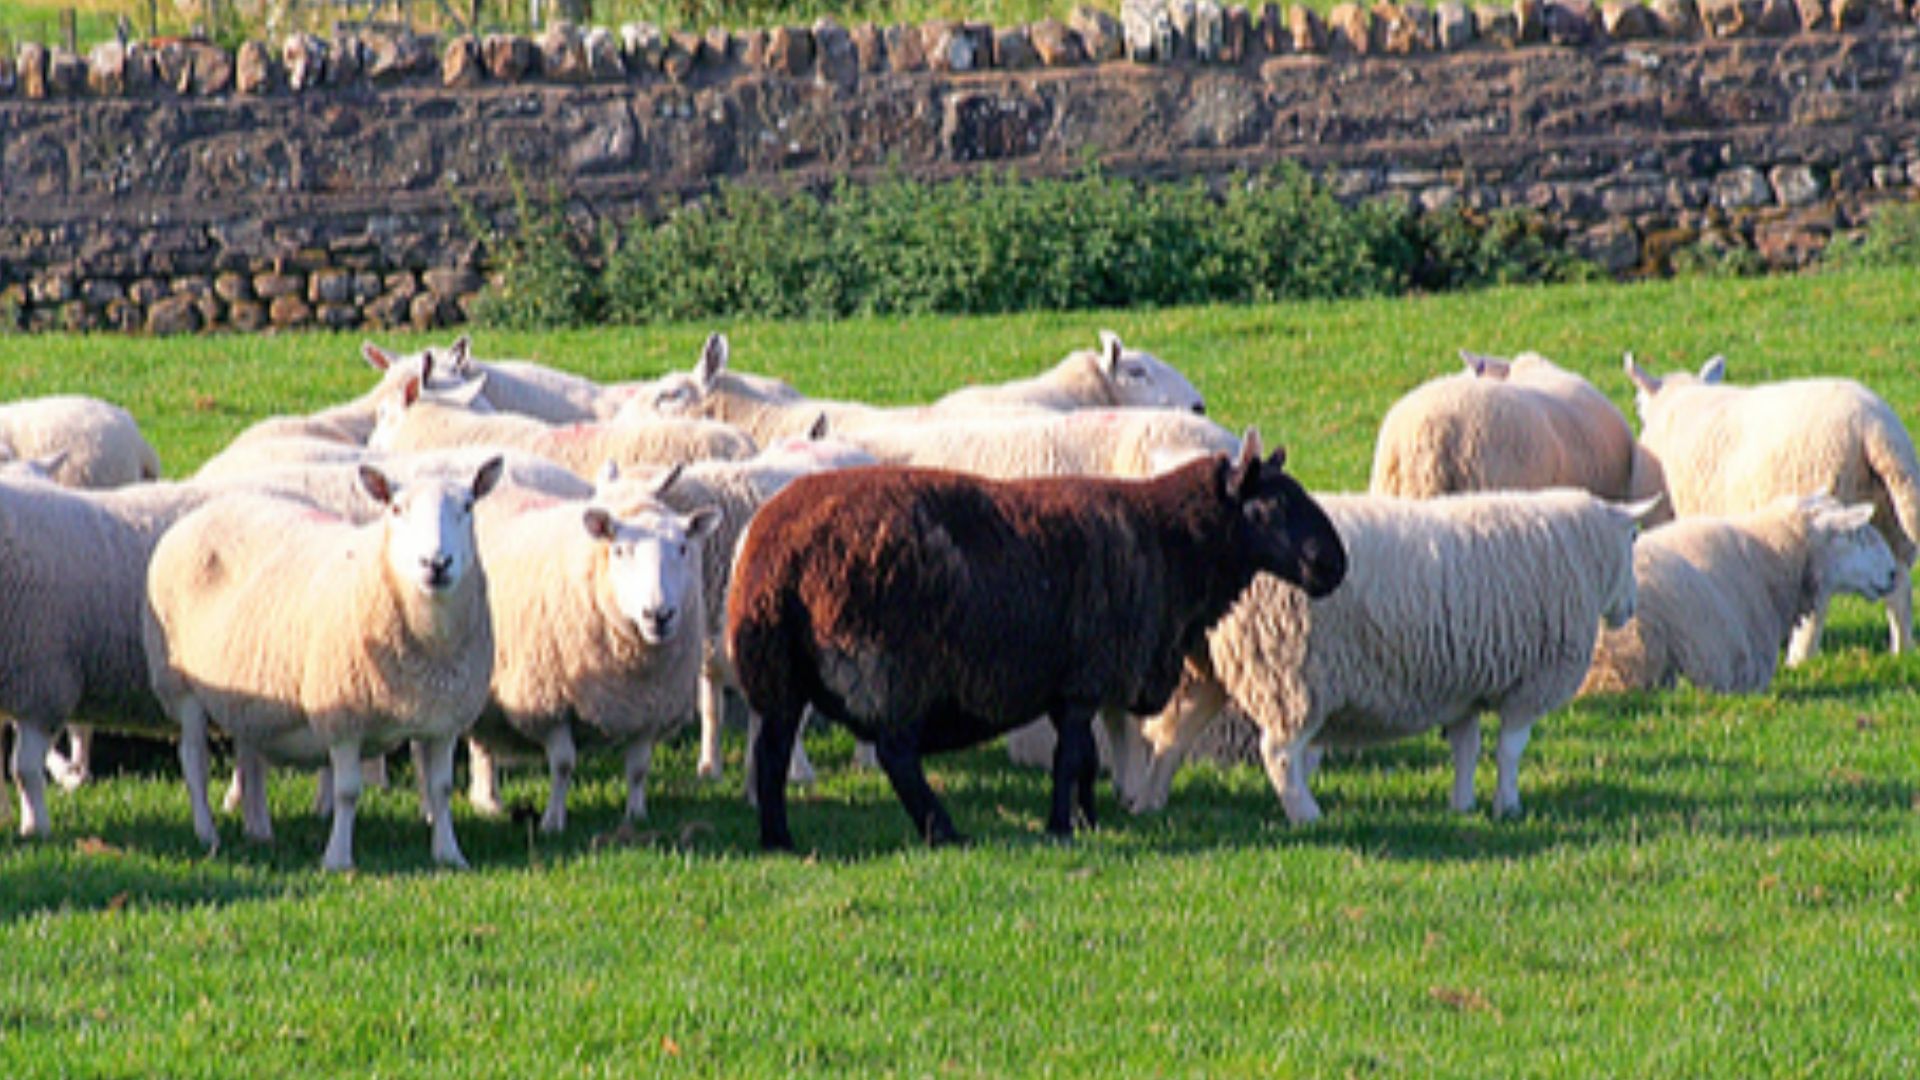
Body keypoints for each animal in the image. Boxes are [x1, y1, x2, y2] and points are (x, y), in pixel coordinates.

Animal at [143, 458, 504, 870]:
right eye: (396, 509)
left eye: (468, 506)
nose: (437, 563)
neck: (431, 645)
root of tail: (204, 511)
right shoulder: (342, 715)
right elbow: (347, 791)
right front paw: (338, 859)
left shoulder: (444, 719)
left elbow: (441, 789)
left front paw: (449, 854)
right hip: (178, 682)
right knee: (194, 761)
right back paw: (207, 833)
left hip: (250, 687)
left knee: (249, 757)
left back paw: (259, 830)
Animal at [459, 469, 721, 833]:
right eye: (621, 550)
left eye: (683, 548)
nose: (659, 615)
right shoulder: (548, 701)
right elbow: (564, 764)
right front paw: (553, 821)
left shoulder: (649, 708)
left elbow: (638, 769)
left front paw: (636, 816)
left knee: (481, 742)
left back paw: (488, 801)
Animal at [725, 431, 1348, 850]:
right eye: (1273, 504)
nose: (1334, 564)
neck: (1170, 540)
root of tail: (777, 559)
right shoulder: (1083, 679)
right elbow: (1070, 756)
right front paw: (1061, 826)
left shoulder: (1071, 683)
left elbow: (1087, 756)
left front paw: (1089, 820)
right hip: (885, 664)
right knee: (897, 755)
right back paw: (944, 831)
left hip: (780, 674)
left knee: (772, 752)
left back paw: (778, 838)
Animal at [1124, 490, 1646, 825]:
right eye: (1635, 538)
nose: (1631, 609)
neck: (1578, 552)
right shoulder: (1529, 685)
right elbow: (1509, 750)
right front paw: (1508, 806)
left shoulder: (1463, 687)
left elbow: (1467, 748)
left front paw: (1463, 805)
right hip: (1286, 671)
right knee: (1279, 753)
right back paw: (1307, 815)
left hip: (1207, 667)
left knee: (1173, 736)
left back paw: (1151, 802)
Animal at [1626, 353, 1920, 661]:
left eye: (1637, 405)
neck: (1679, 398)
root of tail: (1875, 428)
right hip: (1889, 517)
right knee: (1899, 586)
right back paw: (1901, 651)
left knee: (1818, 603)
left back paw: (1798, 660)